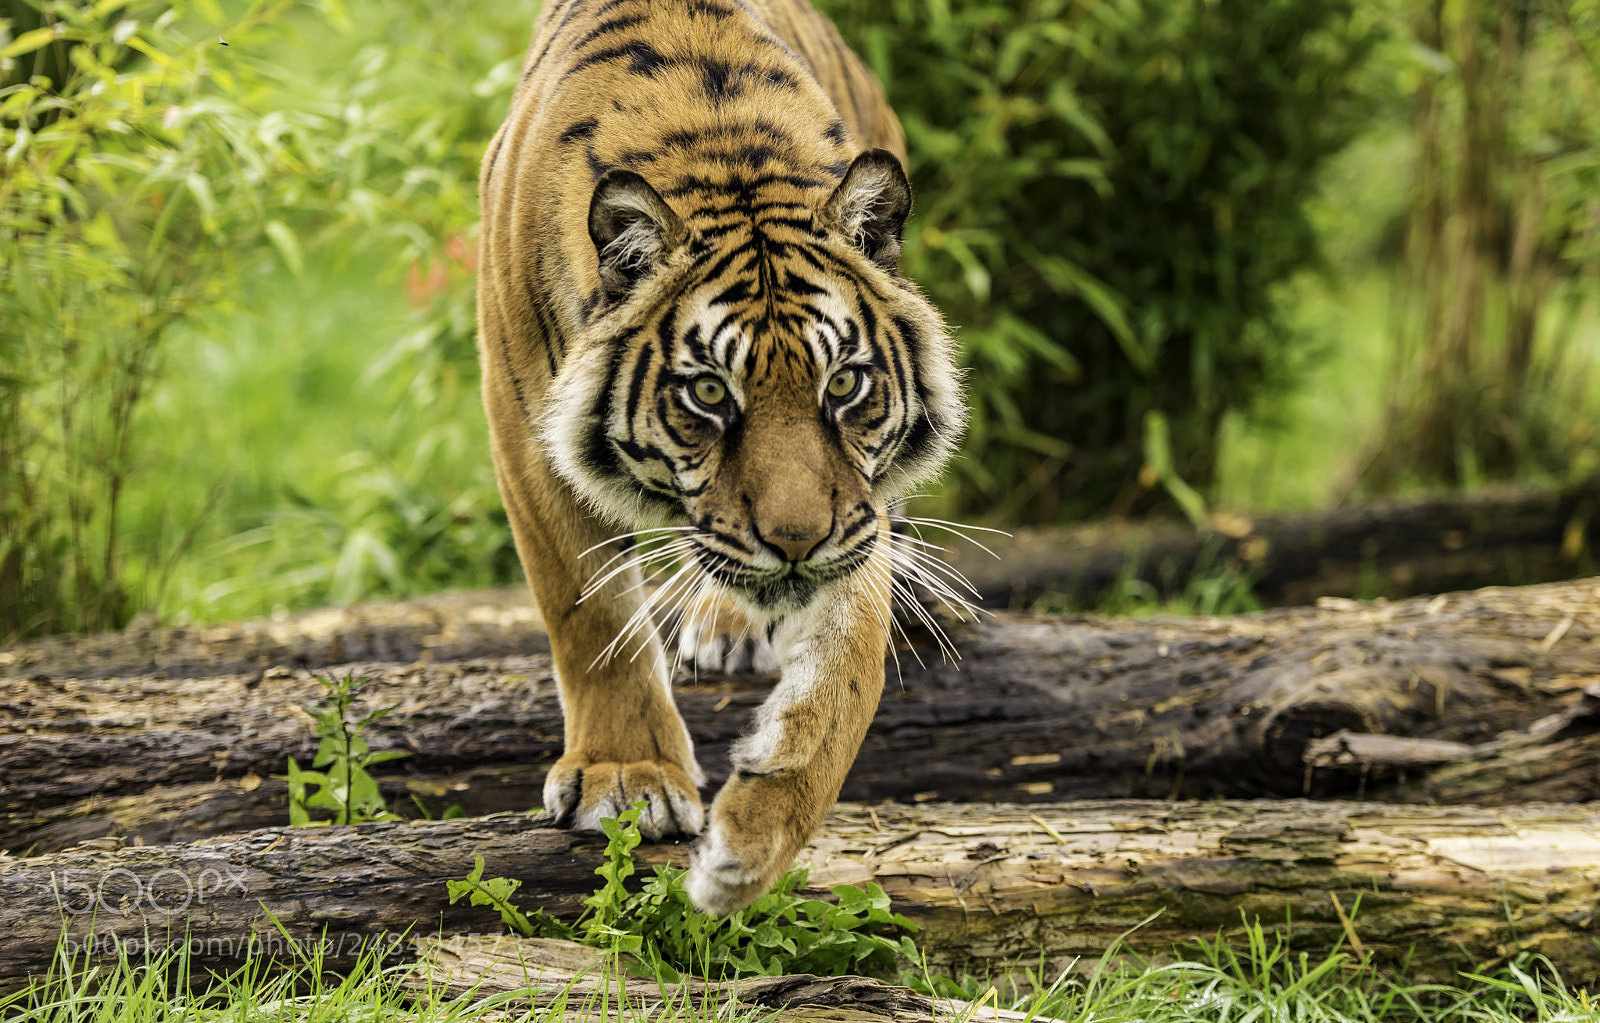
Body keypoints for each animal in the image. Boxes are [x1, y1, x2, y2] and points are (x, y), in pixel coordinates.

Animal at [476, 0, 966, 915]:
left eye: (844, 382)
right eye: (708, 392)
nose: (797, 542)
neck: (717, 147)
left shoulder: (856, 512)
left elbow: (847, 671)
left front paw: (753, 837)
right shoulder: (521, 418)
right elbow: (589, 613)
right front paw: (626, 776)